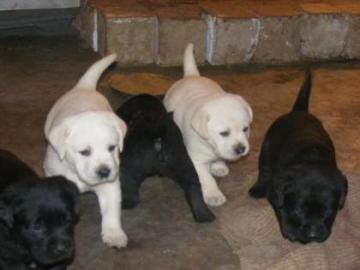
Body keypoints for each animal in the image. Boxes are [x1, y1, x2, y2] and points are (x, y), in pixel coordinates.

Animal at [43, 55, 128, 249]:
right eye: (84, 152)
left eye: (112, 148)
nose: (104, 171)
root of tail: (85, 87)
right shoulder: (52, 171)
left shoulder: (110, 185)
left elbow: (111, 211)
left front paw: (114, 234)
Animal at [116, 94, 215, 223]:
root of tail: (158, 136)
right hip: (184, 164)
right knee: (194, 188)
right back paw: (204, 215)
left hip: (129, 166)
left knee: (130, 191)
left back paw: (125, 203)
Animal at [164, 44, 252, 206]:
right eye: (224, 133)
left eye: (245, 129)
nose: (241, 149)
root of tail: (191, 75)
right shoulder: (196, 160)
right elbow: (207, 179)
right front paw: (213, 195)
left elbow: (218, 158)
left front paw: (218, 165)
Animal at [249, 70, 348, 244]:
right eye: (298, 212)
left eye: (328, 213)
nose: (313, 234)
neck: (312, 158)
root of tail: (298, 111)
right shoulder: (275, 191)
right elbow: (282, 209)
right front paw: (289, 229)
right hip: (267, 146)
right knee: (264, 169)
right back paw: (257, 189)